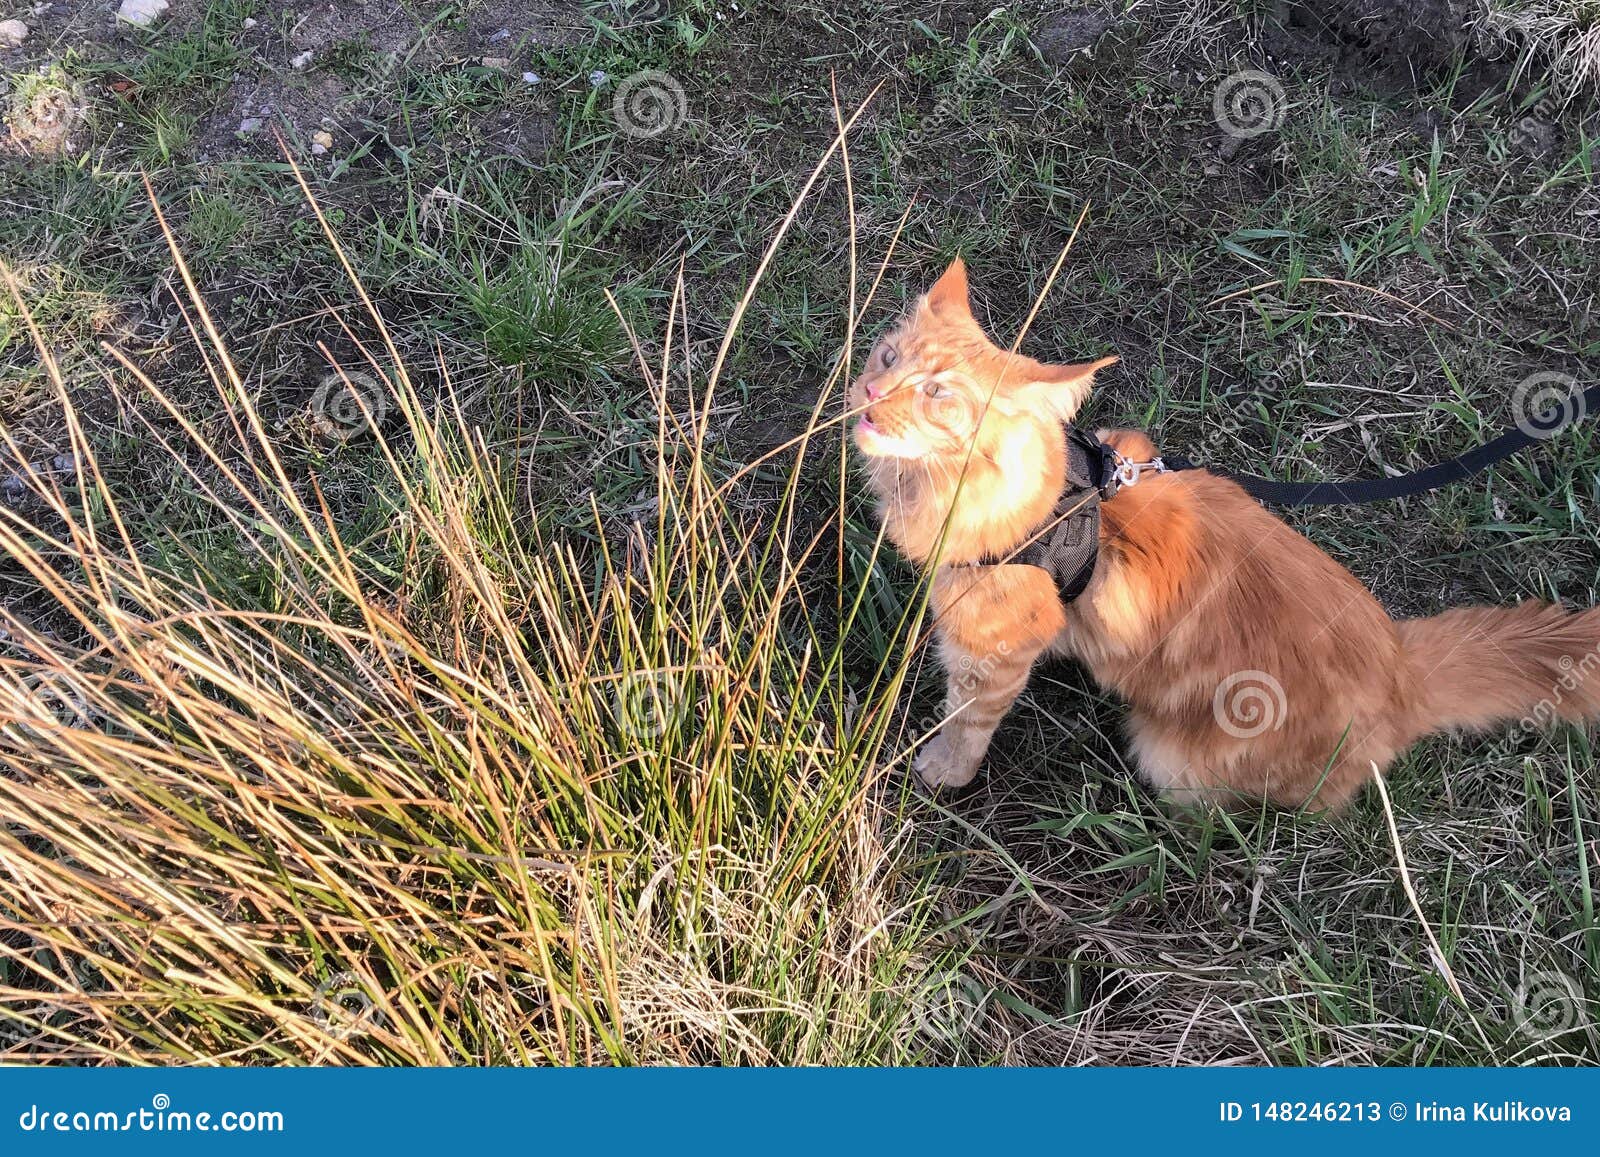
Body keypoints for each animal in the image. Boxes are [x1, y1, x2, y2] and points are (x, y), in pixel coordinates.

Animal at [857, 259, 1600, 809]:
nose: (867, 395)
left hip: (1173, 758)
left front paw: (940, 771)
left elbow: (966, 719)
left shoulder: (994, 647)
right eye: (886, 356)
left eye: (938, 393)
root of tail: (1401, 669)